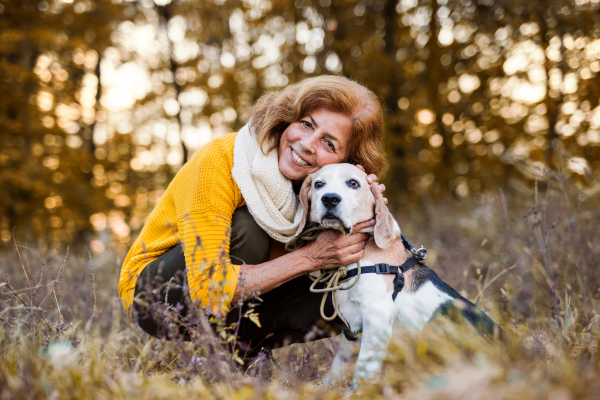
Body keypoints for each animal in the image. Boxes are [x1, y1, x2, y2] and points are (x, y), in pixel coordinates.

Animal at [294, 162, 496, 388]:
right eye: (319, 184)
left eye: (353, 183)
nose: (329, 198)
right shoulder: (354, 329)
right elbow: (337, 367)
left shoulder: (376, 318)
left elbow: (362, 372)